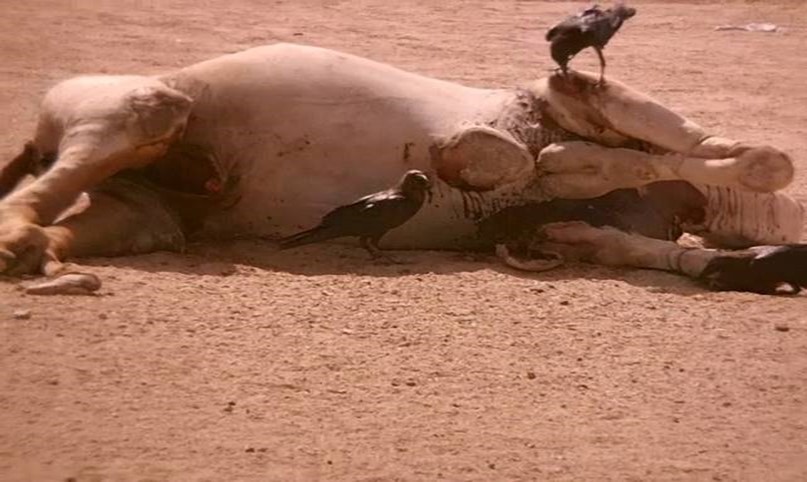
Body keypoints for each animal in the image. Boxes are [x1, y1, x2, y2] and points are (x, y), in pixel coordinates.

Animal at [0, 43, 804, 294]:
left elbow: (607, 222)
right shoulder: (583, 98)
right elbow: (748, 157)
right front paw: (507, 157)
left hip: (143, 217)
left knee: (73, 222)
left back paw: (40, 257)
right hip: (143, 109)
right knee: (41, 189)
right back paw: (18, 243)